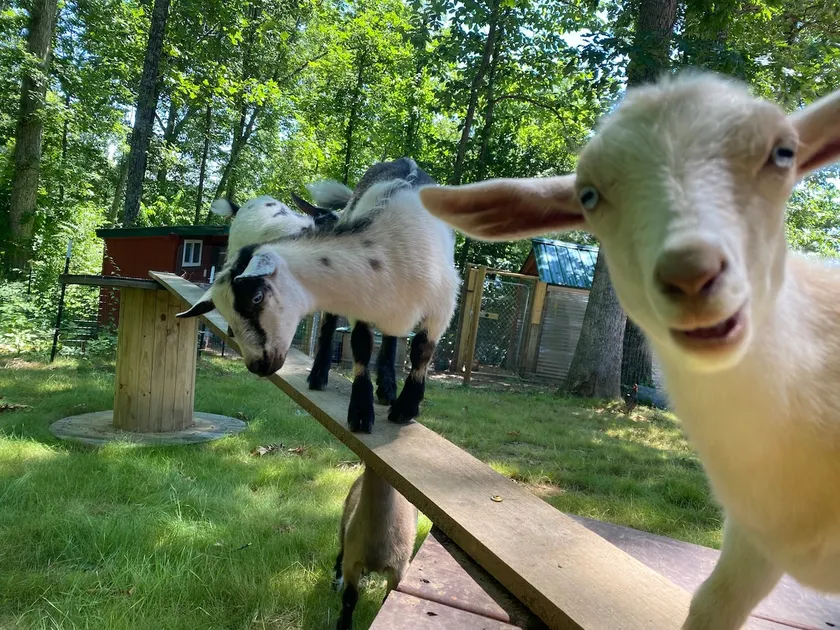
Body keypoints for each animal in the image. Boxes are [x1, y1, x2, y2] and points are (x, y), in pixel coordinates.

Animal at [179, 158, 460, 434]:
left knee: (390, 339)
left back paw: (387, 388)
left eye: (257, 297)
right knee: (331, 324)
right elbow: (361, 345)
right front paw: (360, 411)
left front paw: (405, 408)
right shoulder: (359, 303)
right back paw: (319, 375)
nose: (257, 365)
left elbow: (421, 351)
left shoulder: (442, 307)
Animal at [333, 466, 418, 630]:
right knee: (340, 554)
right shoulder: (352, 559)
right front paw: (344, 625)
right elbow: (349, 598)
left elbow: (388, 599)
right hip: (344, 529)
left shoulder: (399, 569)